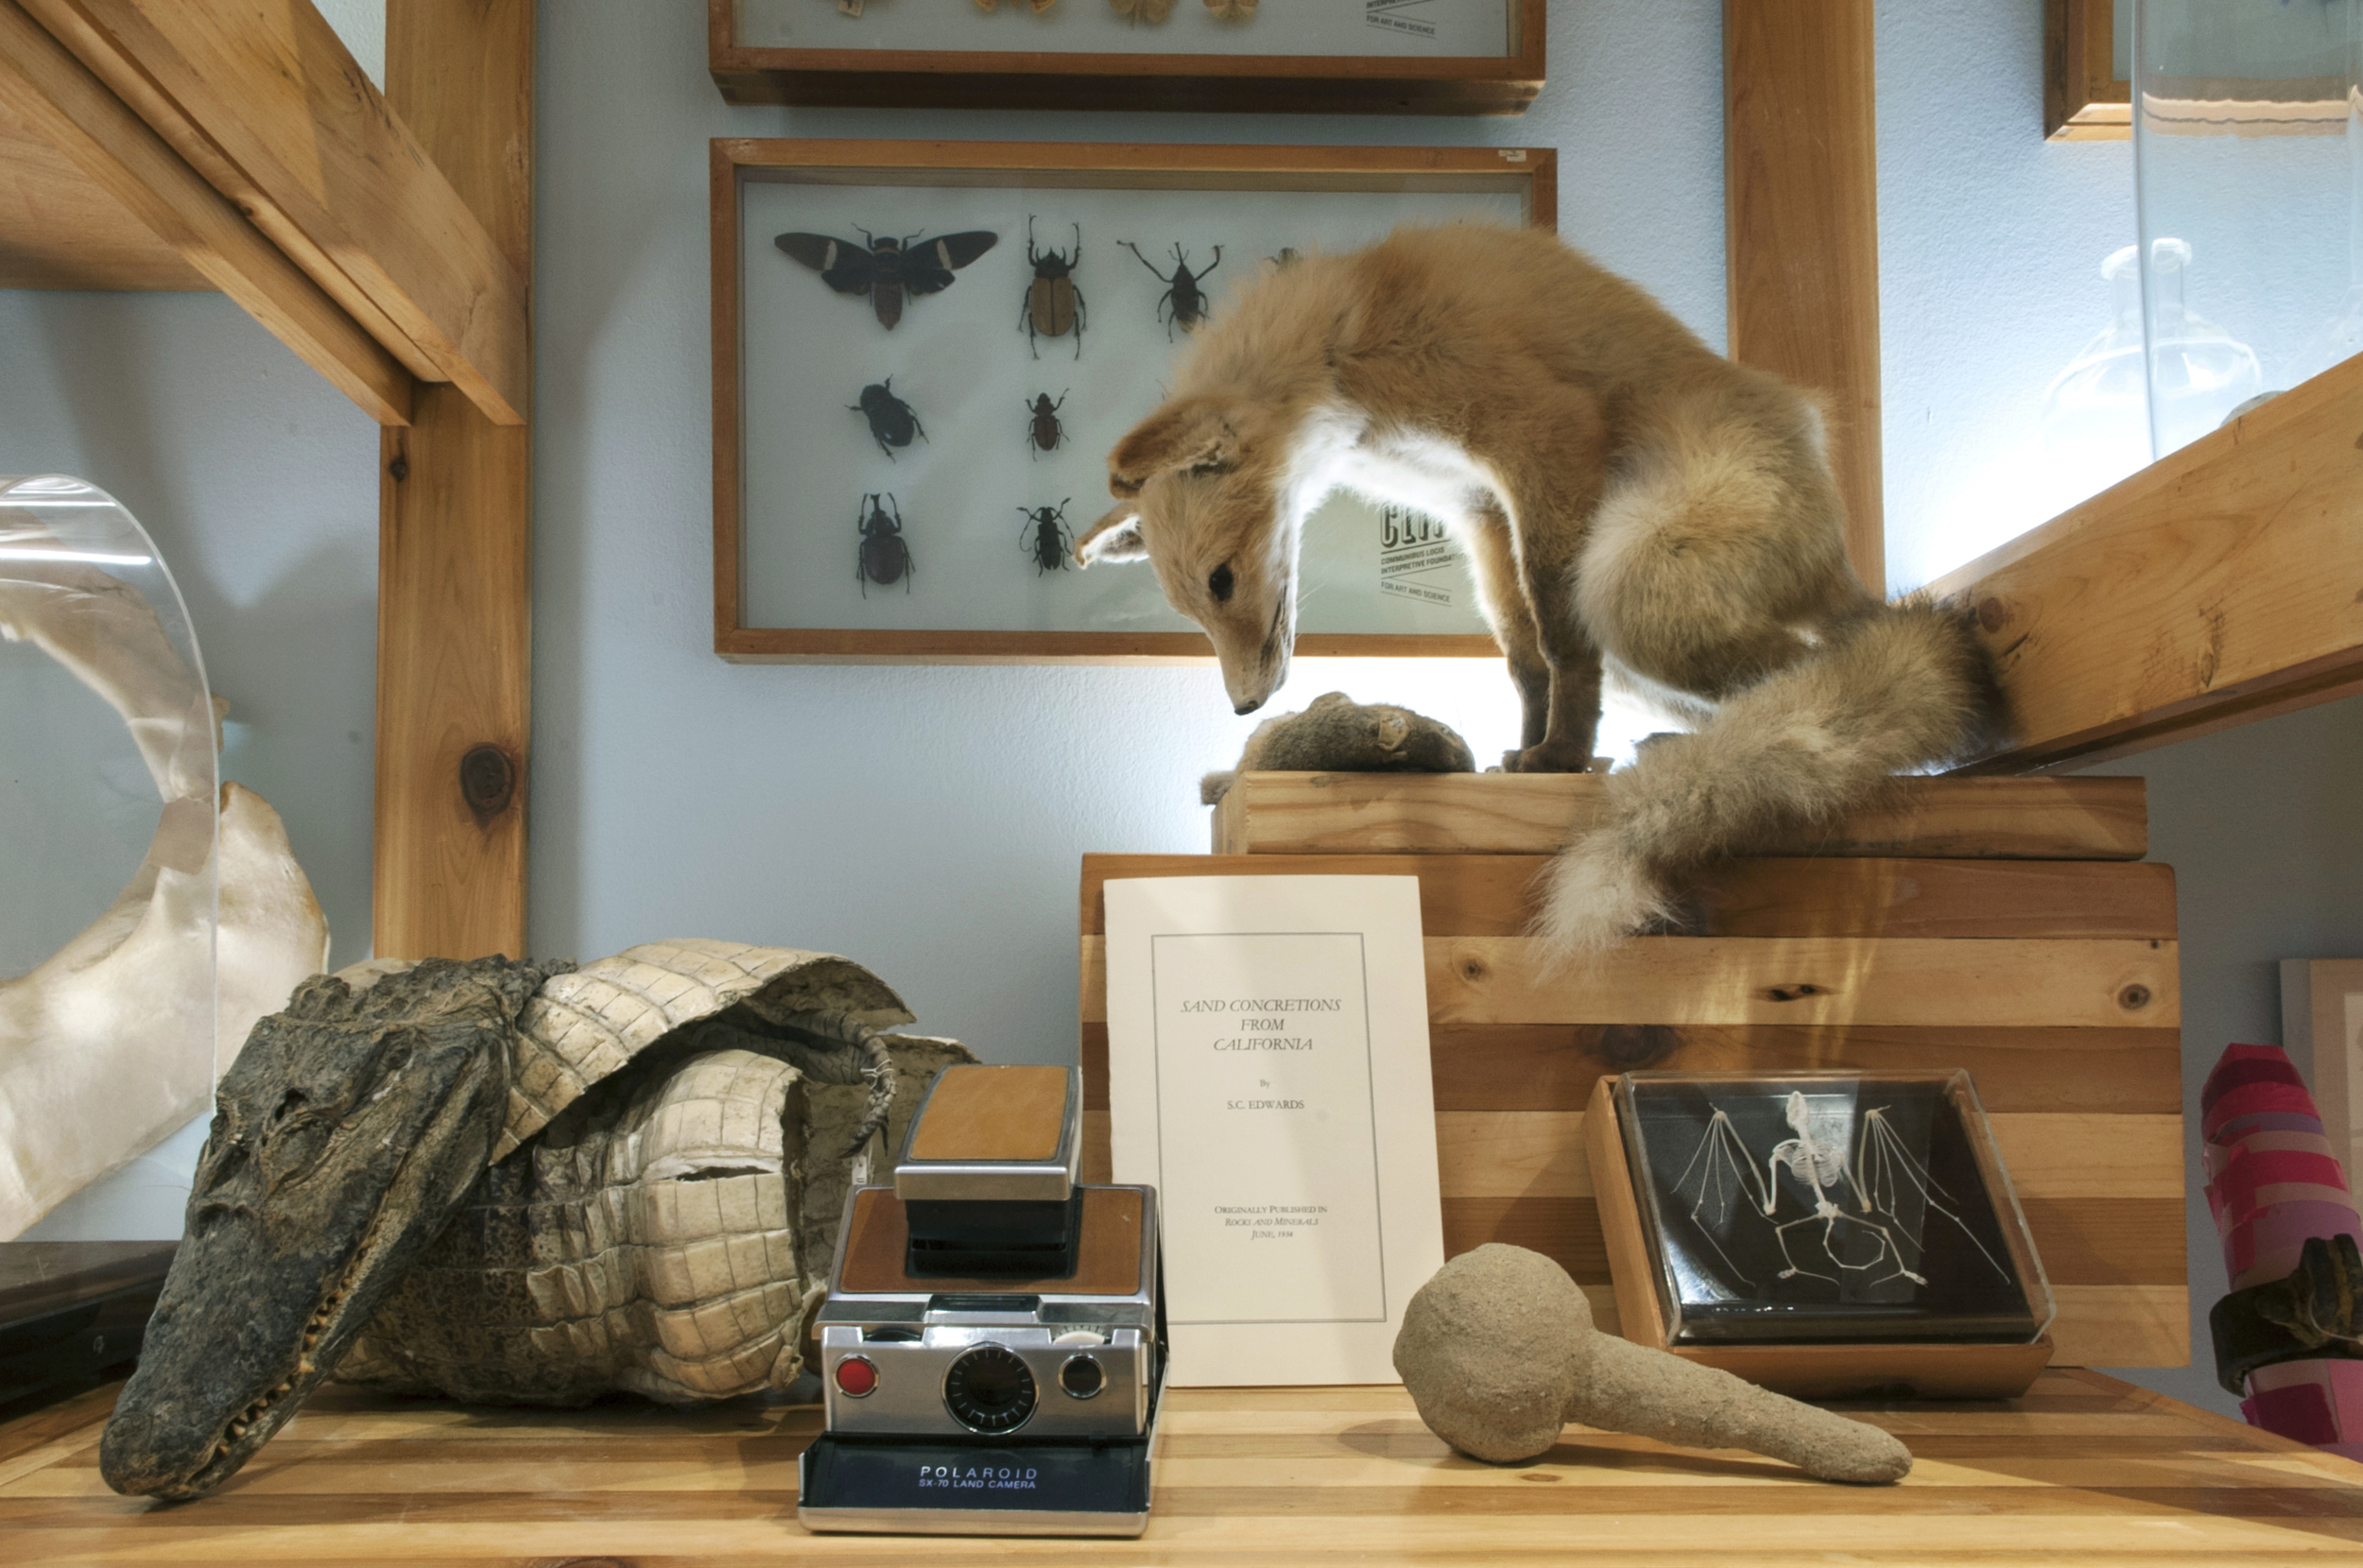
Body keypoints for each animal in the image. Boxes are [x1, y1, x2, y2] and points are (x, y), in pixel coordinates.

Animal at [1082, 221, 2004, 954]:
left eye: (1222, 580)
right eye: (1190, 609)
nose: (1245, 705)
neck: (1346, 346)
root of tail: (1833, 549)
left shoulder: (1544, 436)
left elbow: (1559, 639)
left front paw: (1562, 755)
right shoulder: (1480, 503)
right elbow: (1523, 652)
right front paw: (1527, 755)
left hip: (1626, 585)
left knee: (1817, 666)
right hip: (1644, 636)